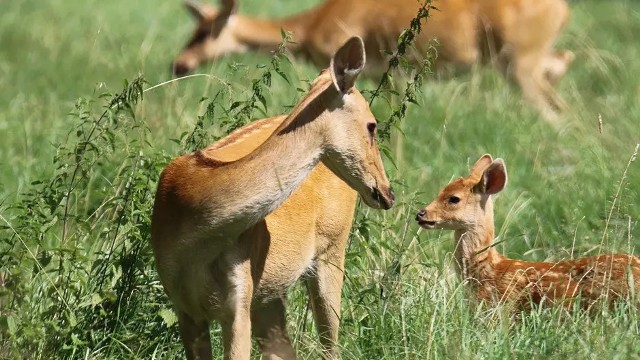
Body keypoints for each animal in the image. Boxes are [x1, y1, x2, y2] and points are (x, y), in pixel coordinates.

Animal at [153, 37, 398, 360]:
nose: (388, 193)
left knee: (330, 345)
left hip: (332, 248)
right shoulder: (183, 305)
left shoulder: (239, 295)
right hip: (270, 293)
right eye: (372, 125)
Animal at [171, 0, 576, 121]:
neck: (315, 23)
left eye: (204, 31)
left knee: (554, 111)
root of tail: (563, 9)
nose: (179, 64)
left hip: (520, 63)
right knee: (562, 69)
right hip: (522, 62)